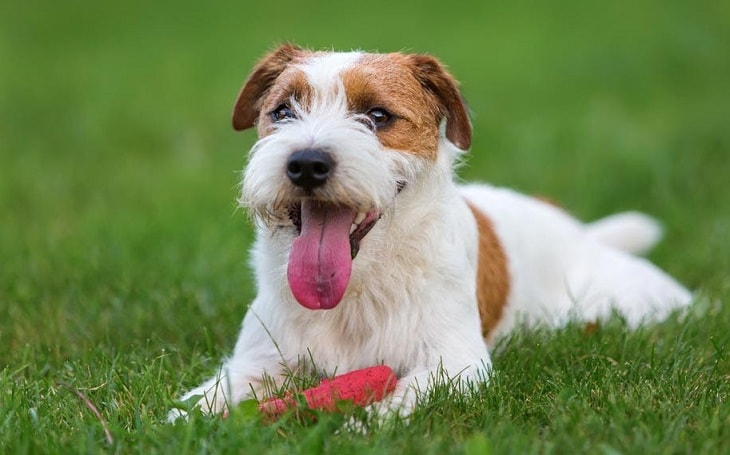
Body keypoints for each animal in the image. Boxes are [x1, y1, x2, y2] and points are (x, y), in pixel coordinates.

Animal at [168, 45, 692, 420]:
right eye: (283, 111)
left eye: (377, 116)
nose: (306, 163)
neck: (358, 289)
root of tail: (581, 232)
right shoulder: (256, 362)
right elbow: (205, 400)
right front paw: (187, 421)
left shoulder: (456, 363)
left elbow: (402, 397)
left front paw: (360, 426)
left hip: (626, 307)